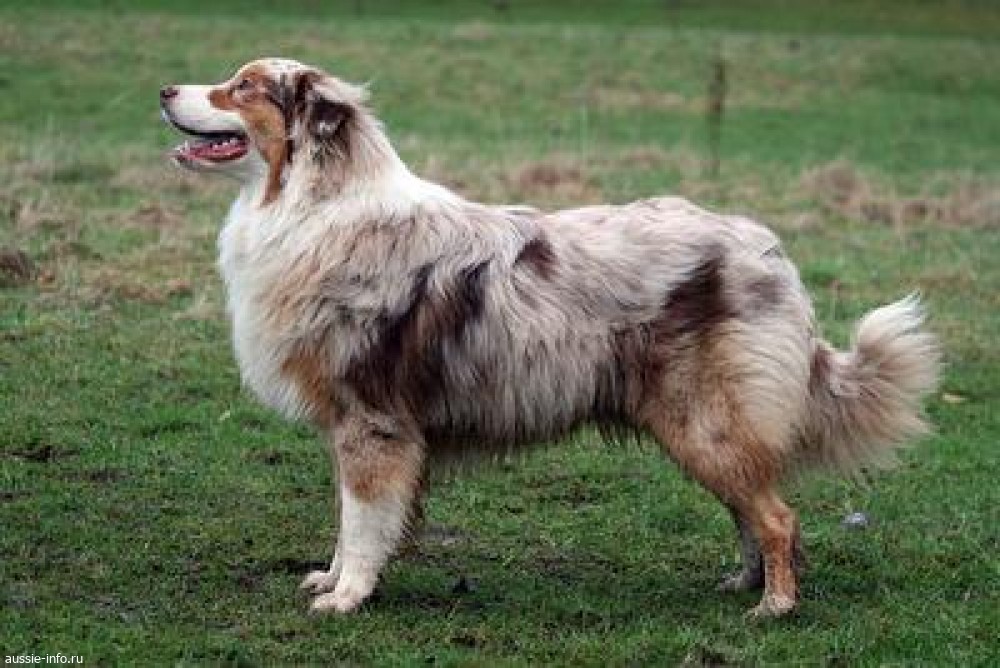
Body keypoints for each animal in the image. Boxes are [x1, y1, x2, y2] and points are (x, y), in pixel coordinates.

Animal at [160, 58, 939, 617]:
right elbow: (361, 523)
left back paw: (774, 607)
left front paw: (347, 596)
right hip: (705, 429)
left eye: (241, 87)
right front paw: (334, 580)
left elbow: (361, 520)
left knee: (778, 516)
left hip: (704, 420)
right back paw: (743, 586)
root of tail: (769, 250)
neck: (316, 205)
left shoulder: (370, 422)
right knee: (754, 508)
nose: (166, 88)